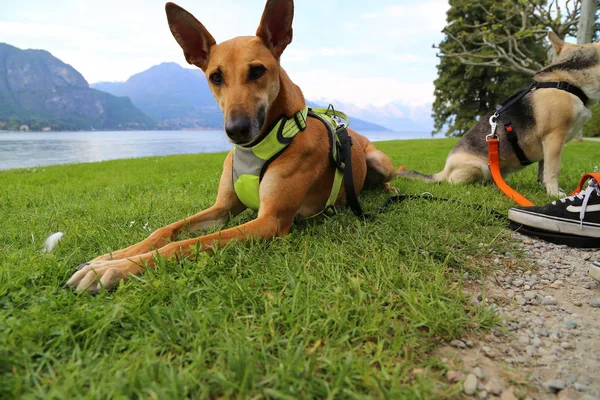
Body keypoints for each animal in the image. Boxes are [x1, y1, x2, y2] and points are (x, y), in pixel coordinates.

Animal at [65, 0, 396, 294]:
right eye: (216, 76)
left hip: (379, 160)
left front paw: (114, 269)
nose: (236, 130)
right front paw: (111, 257)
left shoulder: (270, 221)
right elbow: (166, 230)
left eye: (258, 71)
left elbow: (184, 244)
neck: (262, 145)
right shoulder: (222, 208)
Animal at [398, 32, 600, 197]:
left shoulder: (547, 147)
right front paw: (554, 194)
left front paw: (545, 189)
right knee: (453, 182)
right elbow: (552, 170)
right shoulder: (554, 140)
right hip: (478, 168)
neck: (568, 82)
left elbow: (542, 171)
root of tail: (444, 170)